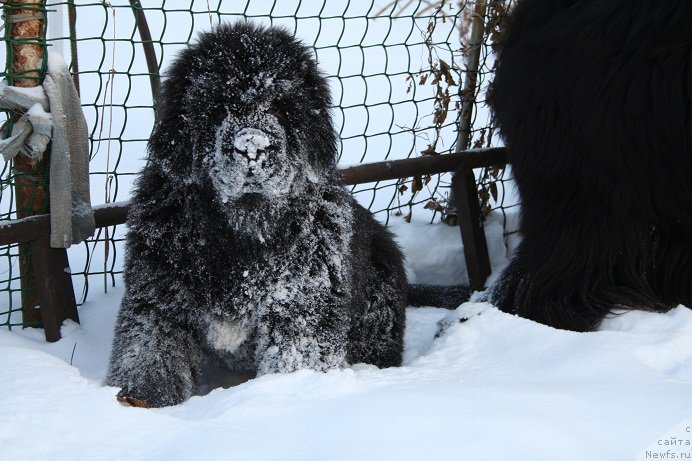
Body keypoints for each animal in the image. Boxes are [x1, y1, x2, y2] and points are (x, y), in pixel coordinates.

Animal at [106, 23, 408, 408]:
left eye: (279, 105)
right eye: (217, 105)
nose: (252, 147)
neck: (244, 233)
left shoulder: (302, 306)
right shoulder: (161, 294)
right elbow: (150, 348)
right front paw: (140, 401)